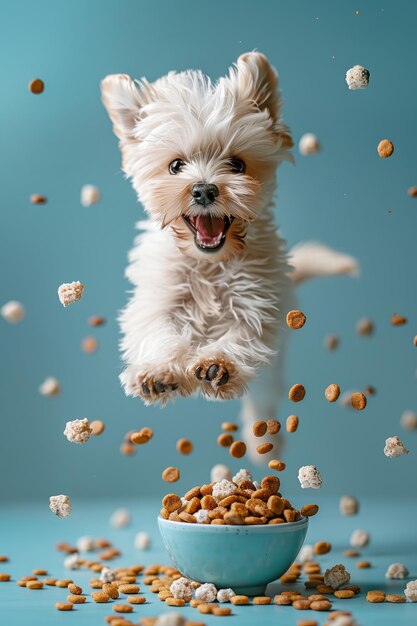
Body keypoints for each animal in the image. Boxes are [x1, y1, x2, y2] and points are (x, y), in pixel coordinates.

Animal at [101, 51, 354, 456]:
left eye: (236, 164)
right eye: (176, 165)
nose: (204, 189)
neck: (209, 265)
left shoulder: (257, 305)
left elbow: (242, 335)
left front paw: (218, 364)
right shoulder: (158, 300)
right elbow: (159, 331)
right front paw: (158, 370)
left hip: (272, 372)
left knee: (263, 401)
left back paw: (264, 441)